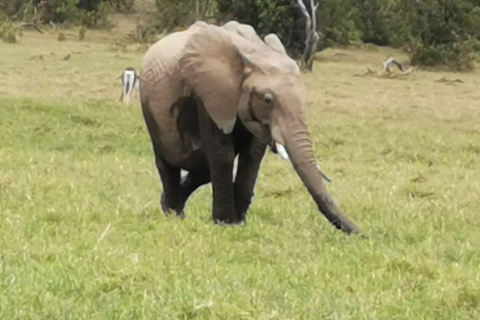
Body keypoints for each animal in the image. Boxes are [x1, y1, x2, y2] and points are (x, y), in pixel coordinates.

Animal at [139, 20, 360, 235]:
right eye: (268, 100)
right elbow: (222, 154)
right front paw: (226, 223)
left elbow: (252, 155)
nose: (362, 234)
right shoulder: (210, 94)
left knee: (202, 168)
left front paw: (239, 222)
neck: (252, 53)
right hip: (150, 109)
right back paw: (173, 213)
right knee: (168, 162)